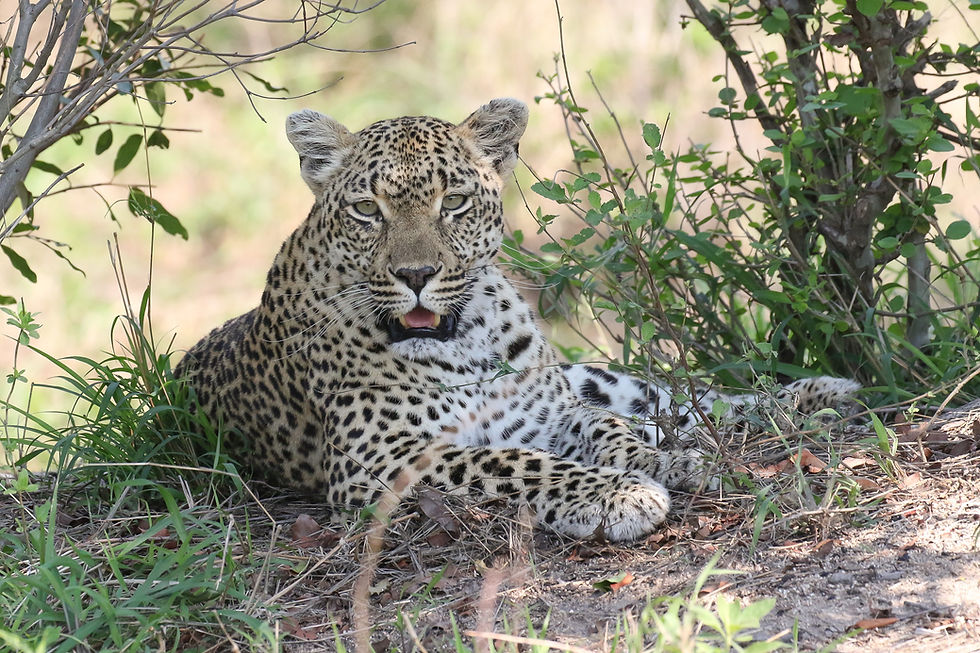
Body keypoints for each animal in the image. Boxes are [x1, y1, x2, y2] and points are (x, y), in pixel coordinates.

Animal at [175, 98, 858, 542]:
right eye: (368, 210)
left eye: (453, 201)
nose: (416, 274)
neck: (463, 343)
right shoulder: (385, 460)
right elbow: (515, 463)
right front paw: (619, 493)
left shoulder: (550, 412)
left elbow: (610, 430)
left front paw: (657, 465)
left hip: (596, 378)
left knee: (680, 399)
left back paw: (820, 394)